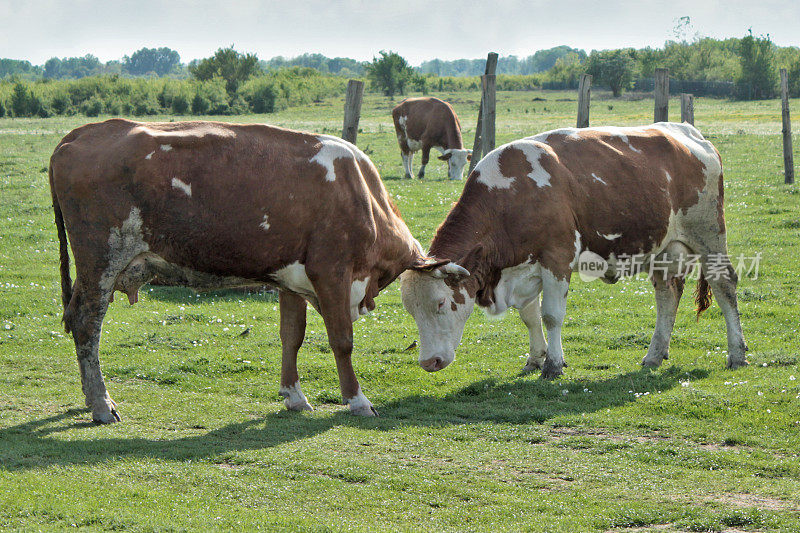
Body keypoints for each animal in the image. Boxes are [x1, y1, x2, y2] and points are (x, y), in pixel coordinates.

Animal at [50, 118, 432, 422]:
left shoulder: (290, 278)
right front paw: (357, 401)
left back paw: (90, 398)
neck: (360, 194)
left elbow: (291, 336)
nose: (434, 363)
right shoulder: (331, 272)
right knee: (86, 324)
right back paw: (102, 404)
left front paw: (294, 395)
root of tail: (85, 132)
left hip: (91, 272)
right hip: (101, 261)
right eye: (436, 303)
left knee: (75, 317)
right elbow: (342, 341)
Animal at [404, 122, 748, 376]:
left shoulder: (557, 257)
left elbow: (551, 315)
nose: (429, 362)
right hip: (664, 248)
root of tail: (691, 134)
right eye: (411, 310)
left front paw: (553, 365)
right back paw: (654, 353)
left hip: (709, 234)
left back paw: (736, 353)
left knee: (724, 285)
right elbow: (529, 316)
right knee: (667, 294)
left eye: (439, 304)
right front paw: (535, 358)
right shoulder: (521, 267)